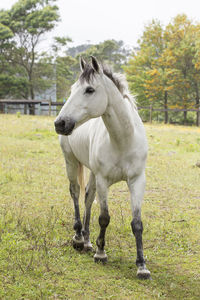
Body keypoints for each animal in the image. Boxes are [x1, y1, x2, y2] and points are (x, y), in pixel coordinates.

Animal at [54, 56, 151, 278]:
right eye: (72, 89)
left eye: (89, 90)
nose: (60, 123)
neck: (123, 140)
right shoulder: (103, 180)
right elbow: (104, 217)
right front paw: (101, 253)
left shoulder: (137, 181)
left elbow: (137, 223)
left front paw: (142, 266)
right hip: (71, 161)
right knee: (75, 193)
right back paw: (79, 238)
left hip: (91, 172)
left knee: (88, 197)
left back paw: (87, 240)